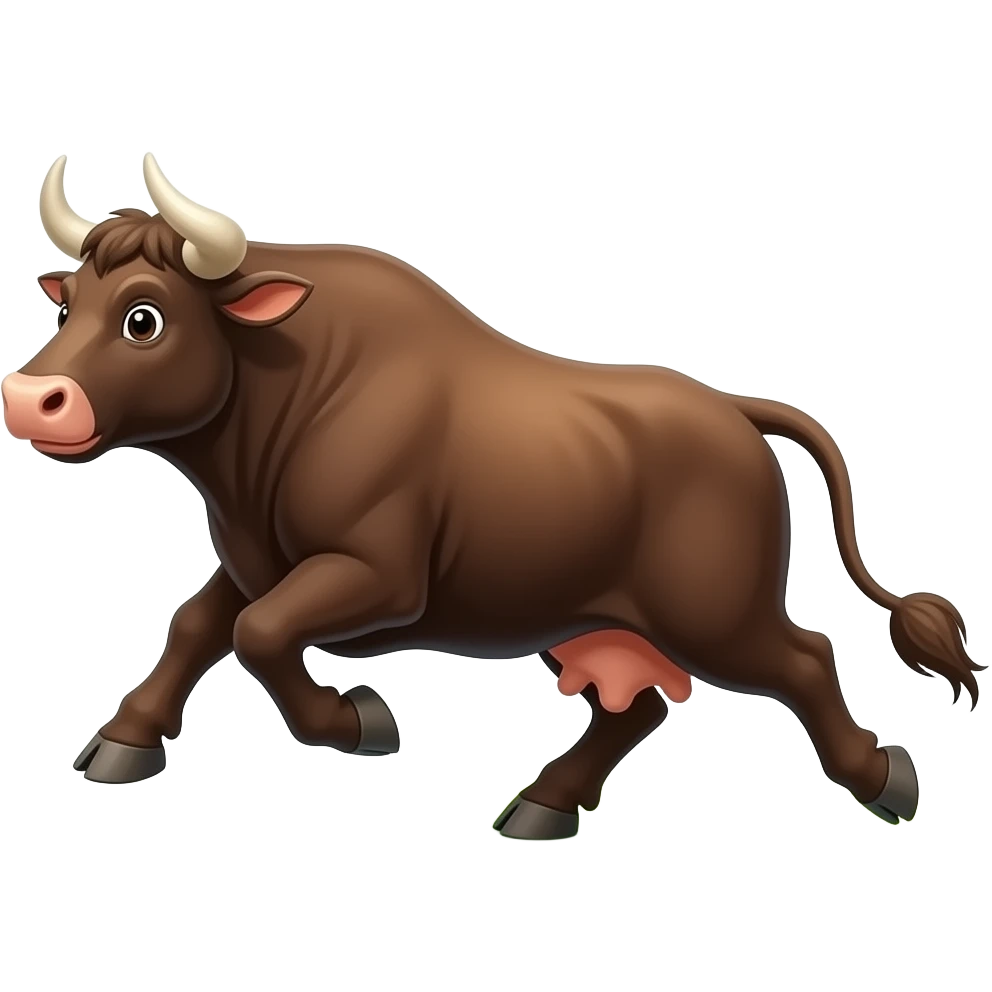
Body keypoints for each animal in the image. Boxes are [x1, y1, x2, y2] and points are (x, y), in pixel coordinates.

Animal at [4, 153, 983, 839]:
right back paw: (543, 807)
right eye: (68, 304)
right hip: (593, 620)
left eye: (144, 316)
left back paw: (887, 779)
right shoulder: (258, 561)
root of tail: (731, 410)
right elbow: (198, 627)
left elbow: (260, 633)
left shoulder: (377, 577)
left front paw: (356, 720)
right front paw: (123, 743)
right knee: (640, 705)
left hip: (716, 616)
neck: (287, 386)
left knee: (805, 660)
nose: (30, 397)